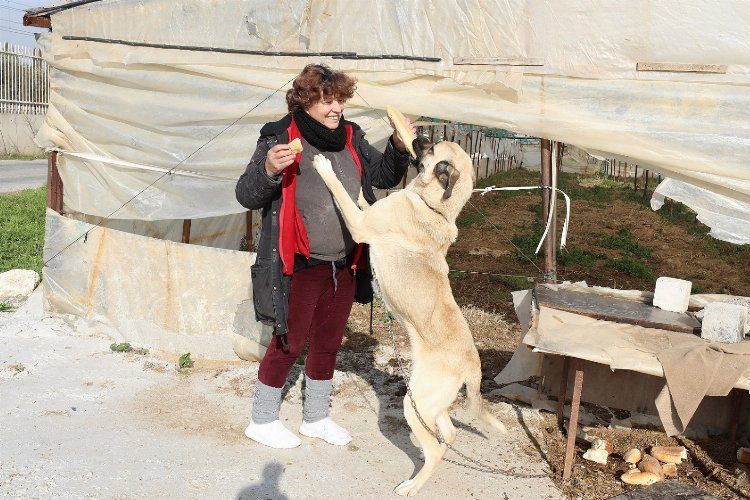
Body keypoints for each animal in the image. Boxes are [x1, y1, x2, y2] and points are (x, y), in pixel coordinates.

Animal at [314, 138, 508, 496]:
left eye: (432, 149)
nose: (416, 138)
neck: (435, 207)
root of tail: (472, 365)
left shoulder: (360, 225)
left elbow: (342, 192)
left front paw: (325, 167)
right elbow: (363, 199)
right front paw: (363, 191)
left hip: (415, 402)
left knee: (435, 449)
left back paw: (412, 486)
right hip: (427, 403)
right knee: (448, 434)